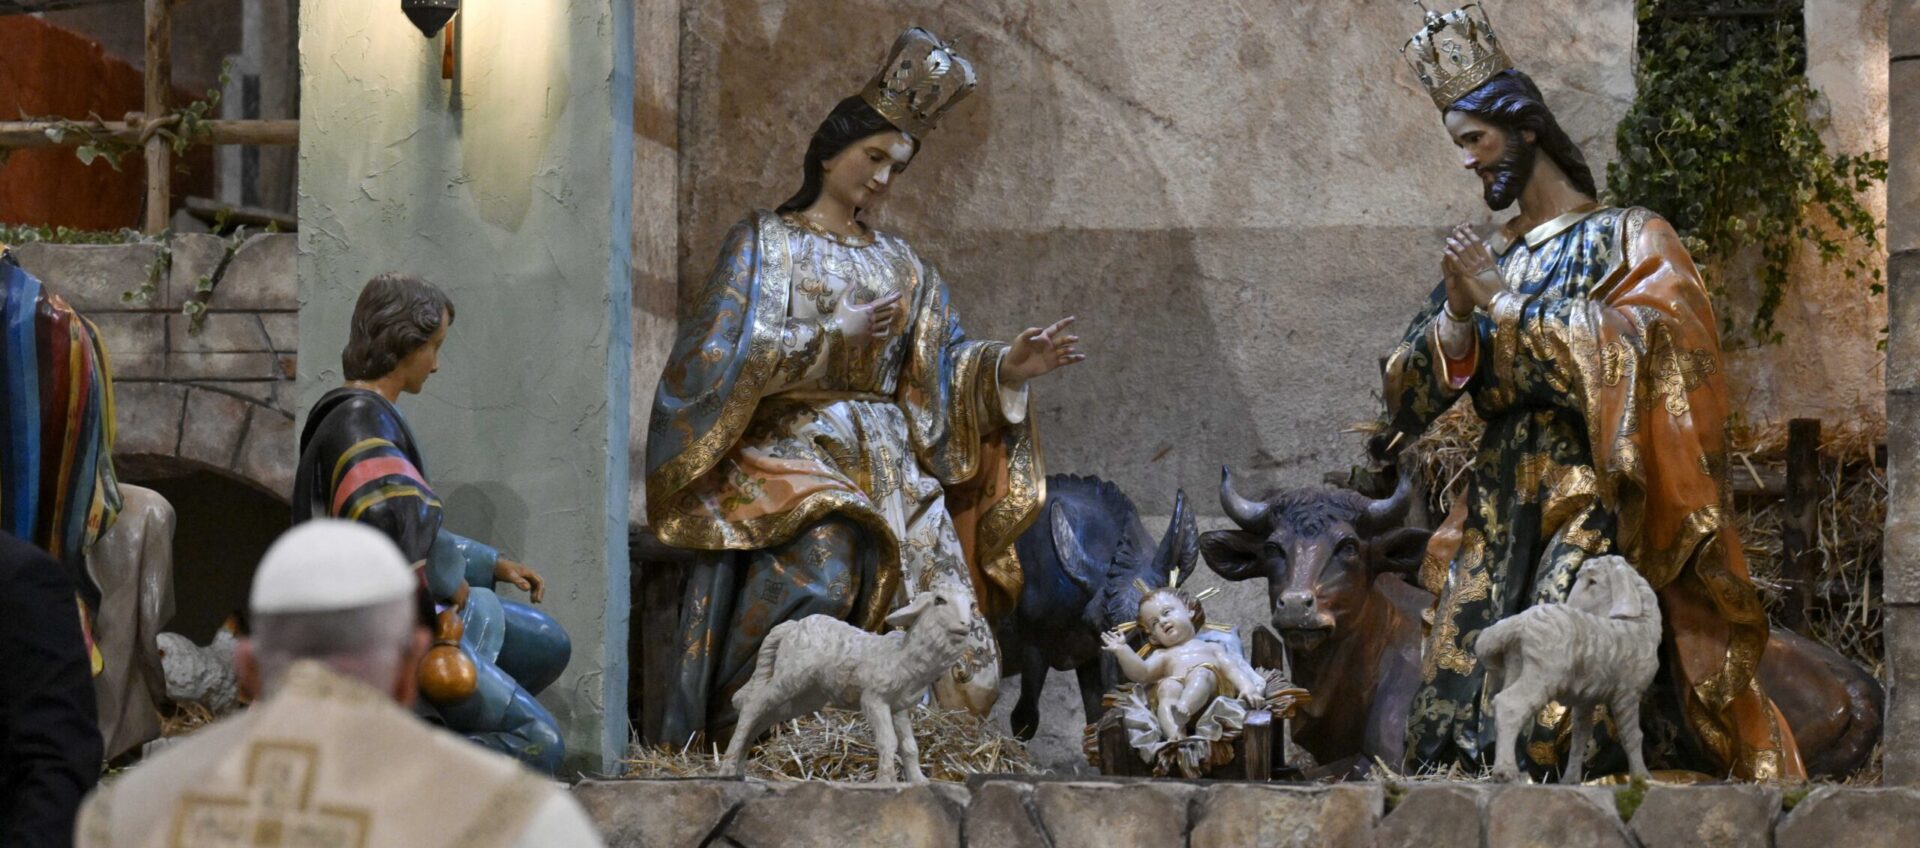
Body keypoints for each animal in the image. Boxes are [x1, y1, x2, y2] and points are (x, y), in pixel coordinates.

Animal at [725, 575, 983, 782]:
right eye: (939, 600)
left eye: (971, 604)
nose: (965, 625)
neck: (902, 655)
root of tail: (790, 625)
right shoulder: (873, 699)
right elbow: (888, 741)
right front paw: (885, 781)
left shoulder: (898, 707)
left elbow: (910, 746)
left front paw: (918, 781)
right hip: (790, 677)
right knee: (753, 706)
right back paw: (726, 768)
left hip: (802, 696)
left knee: (761, 717)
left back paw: (739, 770)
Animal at [1474, 556, 1658, 782]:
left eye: (1593, 582)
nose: (1570, 606)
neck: (1642, 625)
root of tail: (1520, 621)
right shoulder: (1627, 693)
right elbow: (1631, 735)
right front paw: (1643, 776)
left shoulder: (1586, 700)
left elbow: (1580, 738)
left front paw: (1571, 779)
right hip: (1542, 673)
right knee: (1510, 704)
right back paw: (1506, 771)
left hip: (1516, 667)